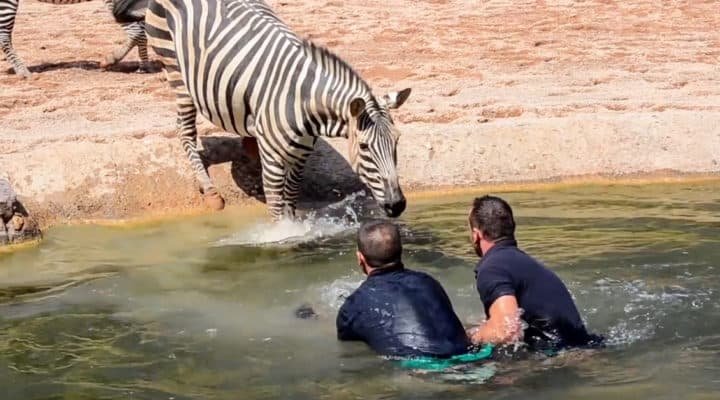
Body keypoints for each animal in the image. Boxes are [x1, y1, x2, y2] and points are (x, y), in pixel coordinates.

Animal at [115, 0, 414, 219]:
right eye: (363, 147)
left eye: (397, 142)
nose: (397, 206)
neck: (305, 102)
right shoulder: (273, 160)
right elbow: (277, 207)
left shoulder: (301, 155)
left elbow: (291, 198)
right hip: (176, 71)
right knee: (185, 130)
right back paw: (210, 192)